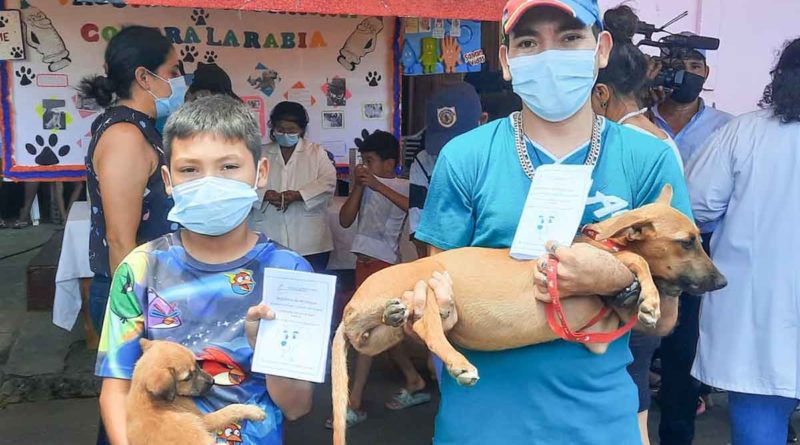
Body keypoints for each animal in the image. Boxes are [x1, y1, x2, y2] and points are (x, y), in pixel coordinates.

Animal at [126, 338, 268, 442]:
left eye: (197, 364)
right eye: (188, 377)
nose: (213, 381)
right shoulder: (204, 420)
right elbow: (230, 409)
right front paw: (253, 411)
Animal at [328, 185, 728, 444]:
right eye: (686, 242)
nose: (723, 282)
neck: (605, 241)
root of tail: (349, 307)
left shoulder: (597, 333)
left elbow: (632, 269)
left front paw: (644, 297)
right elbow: (636, 259)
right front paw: (649, 300)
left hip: (386, 330)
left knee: (376, 335)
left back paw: (394, 315)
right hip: (427, 278)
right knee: (426, 326)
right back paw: (458, 364)